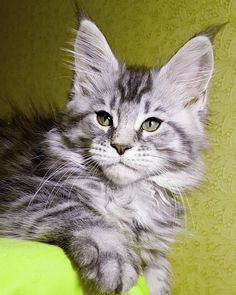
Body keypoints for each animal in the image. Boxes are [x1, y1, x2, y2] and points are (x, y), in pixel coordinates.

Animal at [0, 19, 214, 295]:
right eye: (104, 119)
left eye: (151, 124)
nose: (120, 146)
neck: (125, 196)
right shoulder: (19, 195)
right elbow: (77, 210)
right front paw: (113, 256)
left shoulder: (154, 246)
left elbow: (159, 269)